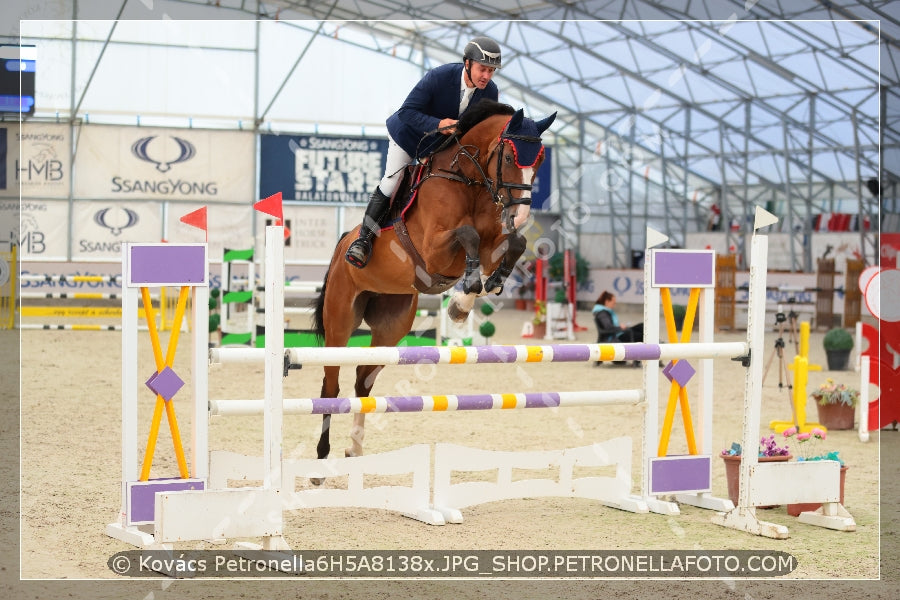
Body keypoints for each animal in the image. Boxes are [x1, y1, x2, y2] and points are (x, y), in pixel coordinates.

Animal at [312, 101, 556, 462]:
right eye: (511, 158)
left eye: (539, 159)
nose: (521, 214)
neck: (469, 179)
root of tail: (344, 242)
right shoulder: (435, 252)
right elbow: (467, 234)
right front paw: (463, 300)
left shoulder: (490, 245)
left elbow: (515, 243)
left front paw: (480, 291)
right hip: (340, 320)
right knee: (332, 383)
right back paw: (322, 452)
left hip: (391, 326)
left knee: (363, 381)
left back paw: (354, 446)